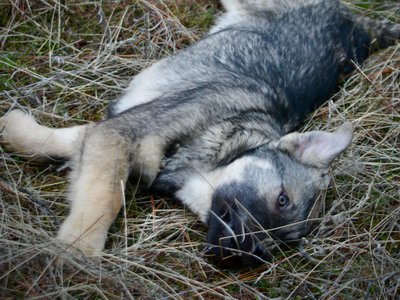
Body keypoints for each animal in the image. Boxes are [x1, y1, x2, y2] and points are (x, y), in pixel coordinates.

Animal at [0, 0, 400, 268]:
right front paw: (77, 255)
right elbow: (106, 197)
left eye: (282, 240)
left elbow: (65, 143)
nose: (244, 257)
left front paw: (13, 130)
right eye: (282, 199)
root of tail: (358, 23)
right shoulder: (120, 133)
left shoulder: (110, 131)